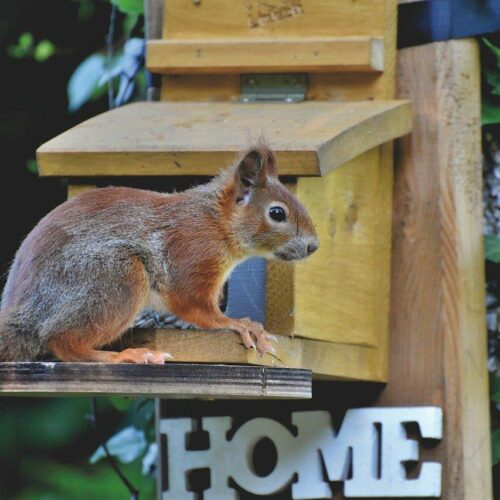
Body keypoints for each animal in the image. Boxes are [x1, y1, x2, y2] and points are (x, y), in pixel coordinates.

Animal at [0, 145, 318, 364]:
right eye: (277, 213)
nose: (313, 246)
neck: (216, 223)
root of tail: (28, 315)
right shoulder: (191, 252)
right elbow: (195, 306)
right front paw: (240, 324)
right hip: (115, 276)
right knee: (62, 340)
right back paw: (123, 356)